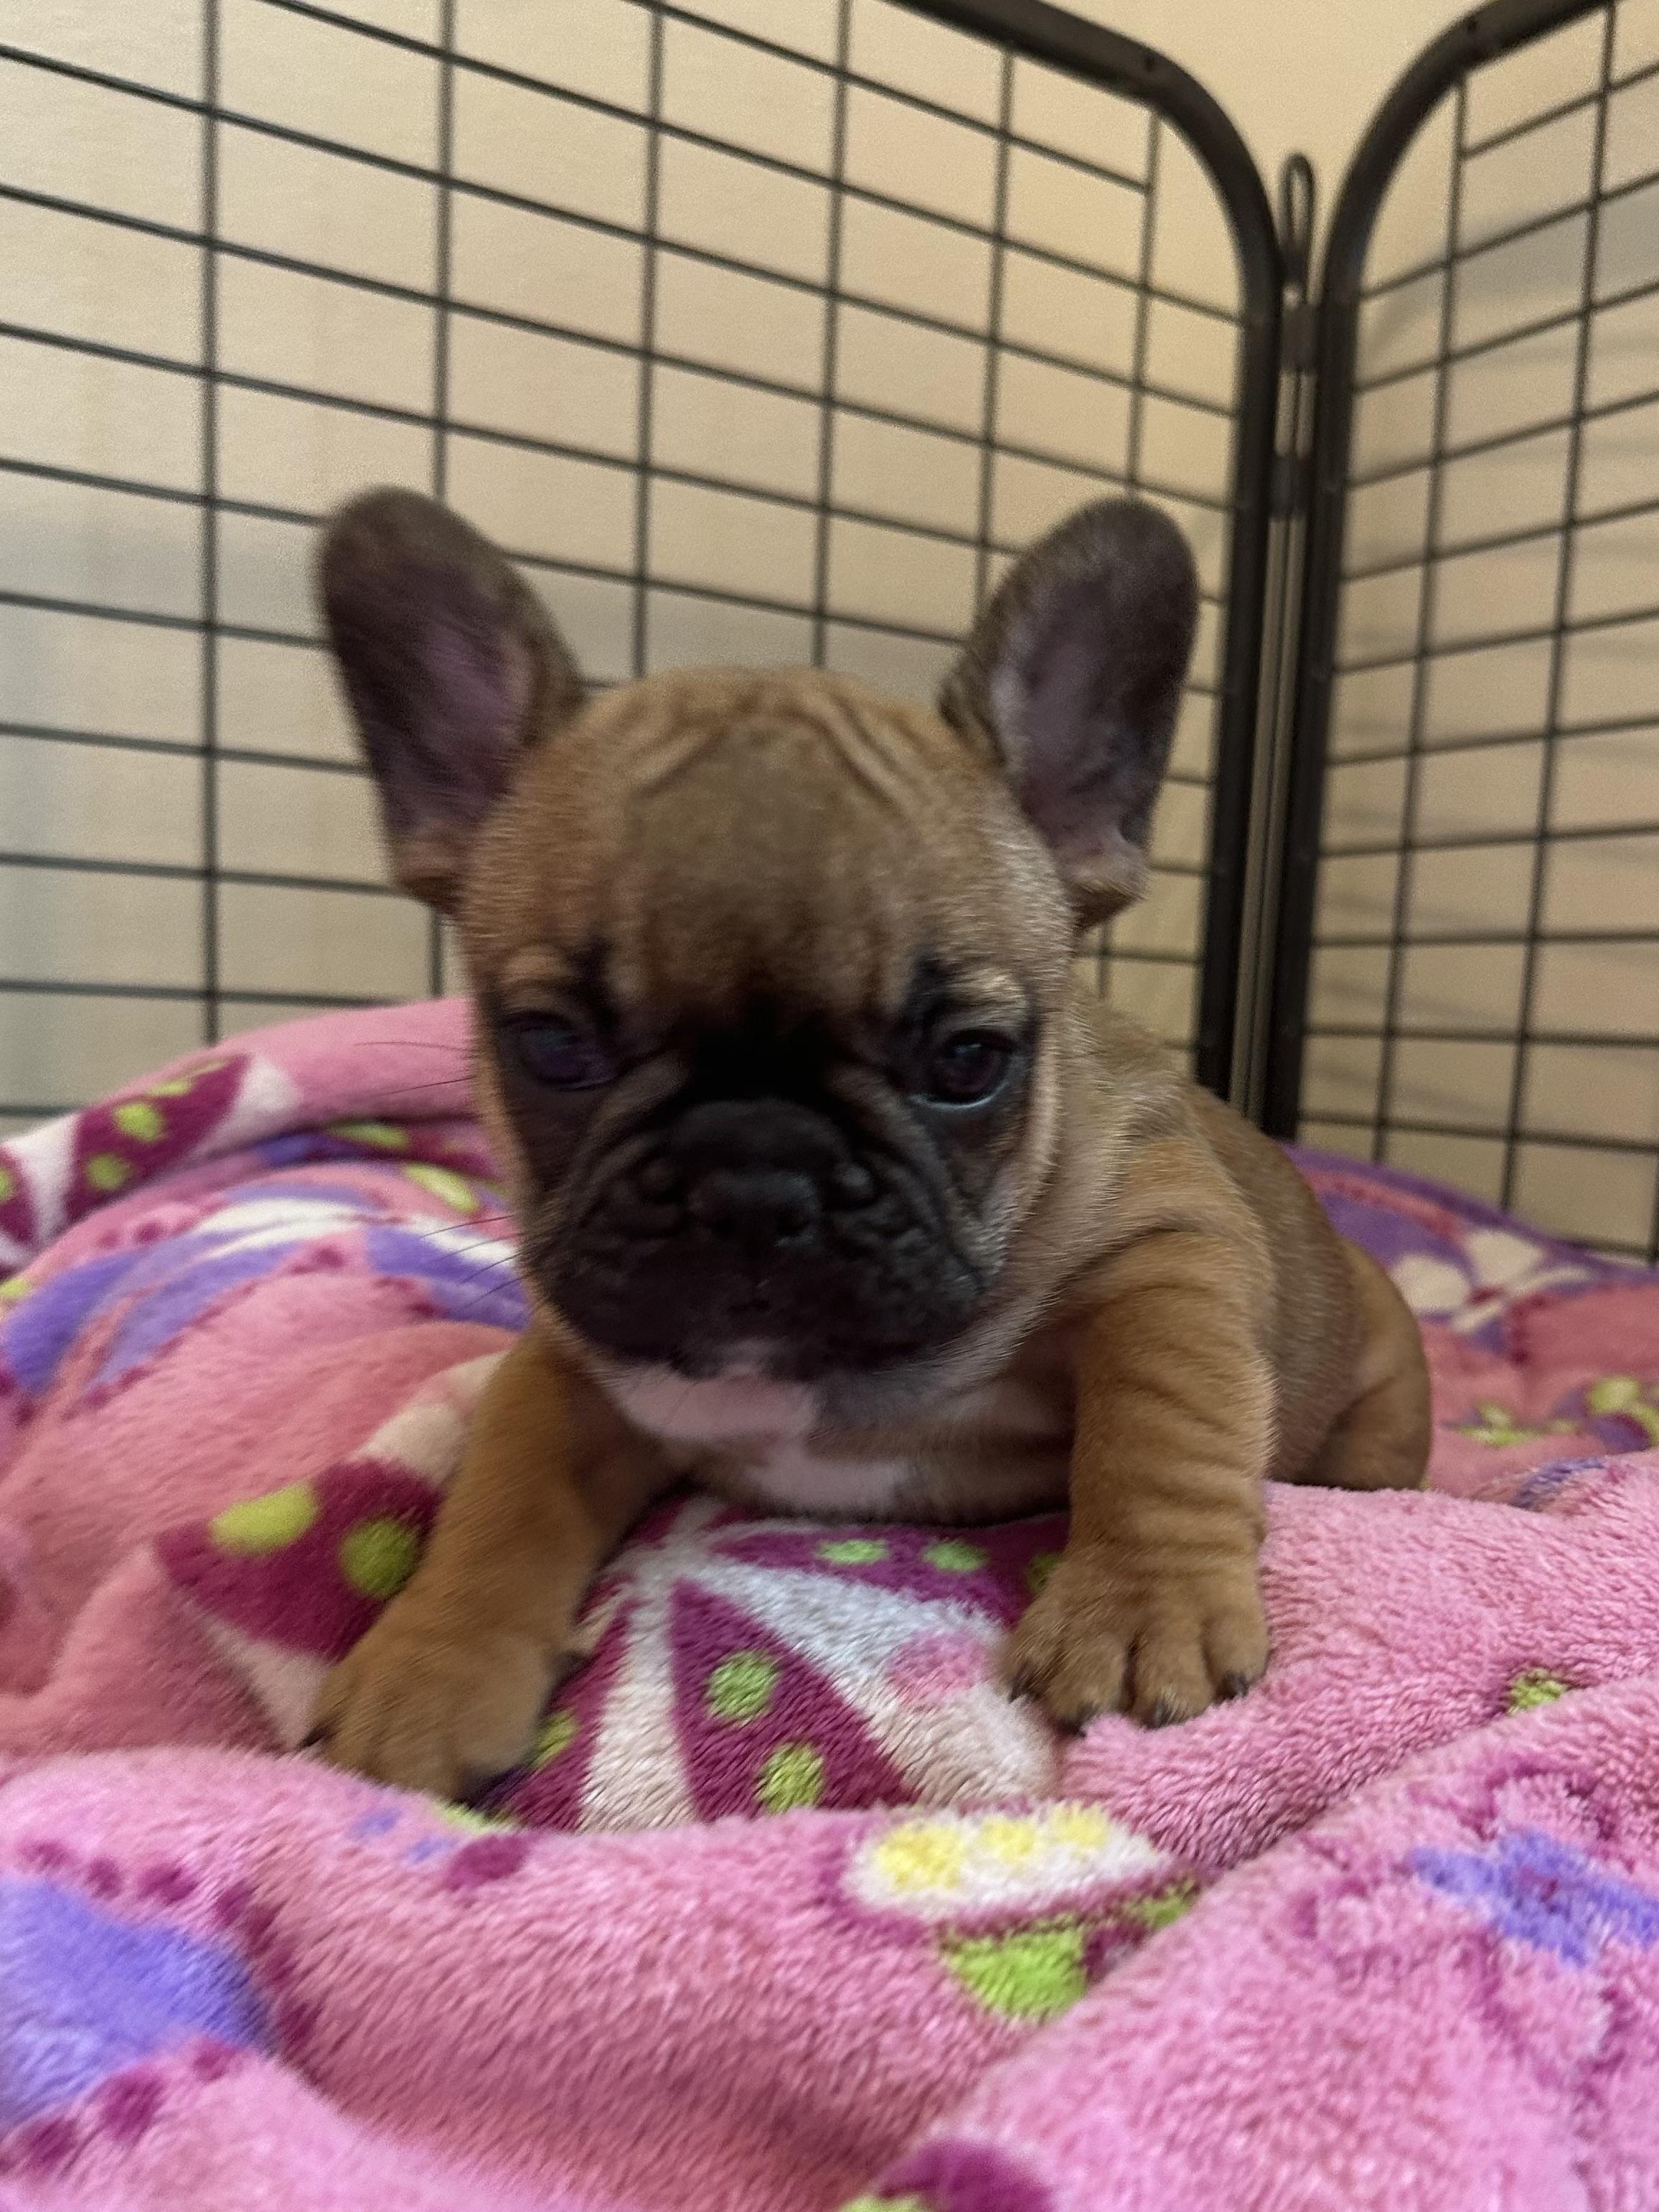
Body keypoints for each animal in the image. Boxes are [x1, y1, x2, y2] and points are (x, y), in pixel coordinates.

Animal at [307, 487, 1431, 1797]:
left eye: (968, 1059)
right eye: (551, 1045)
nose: (753, 1174)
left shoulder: (1165, 1245)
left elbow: (1161, 1417)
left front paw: (1138, 1606)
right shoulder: (572, 1365)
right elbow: (503, 1488)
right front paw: (429, 1665)